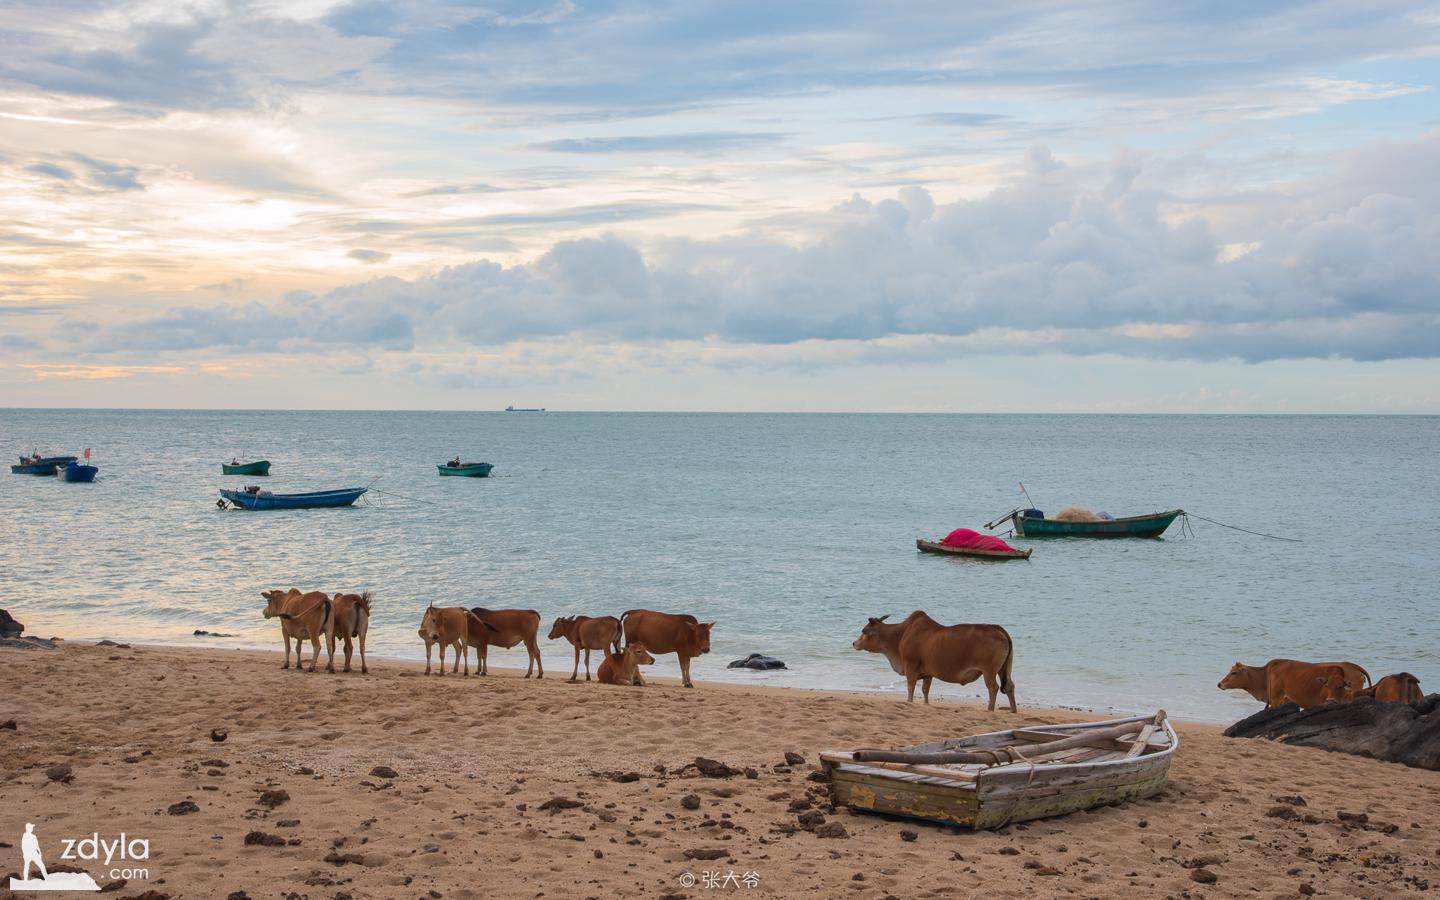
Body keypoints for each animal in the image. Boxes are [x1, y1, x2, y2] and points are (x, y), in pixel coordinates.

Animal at [846, 607, 1019, 711]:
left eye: (864, 630)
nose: (854, 643)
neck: (901, 634)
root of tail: (998, 628)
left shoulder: (910, 666)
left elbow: (911, 687)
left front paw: (909, 702)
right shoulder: (928, 673)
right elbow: (925, 690)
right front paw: (926, 704)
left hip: (989, 671)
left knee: (993, 688)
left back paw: (990, 710)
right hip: (1004, 669)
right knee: (1010, 686)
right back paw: (1013, 710)